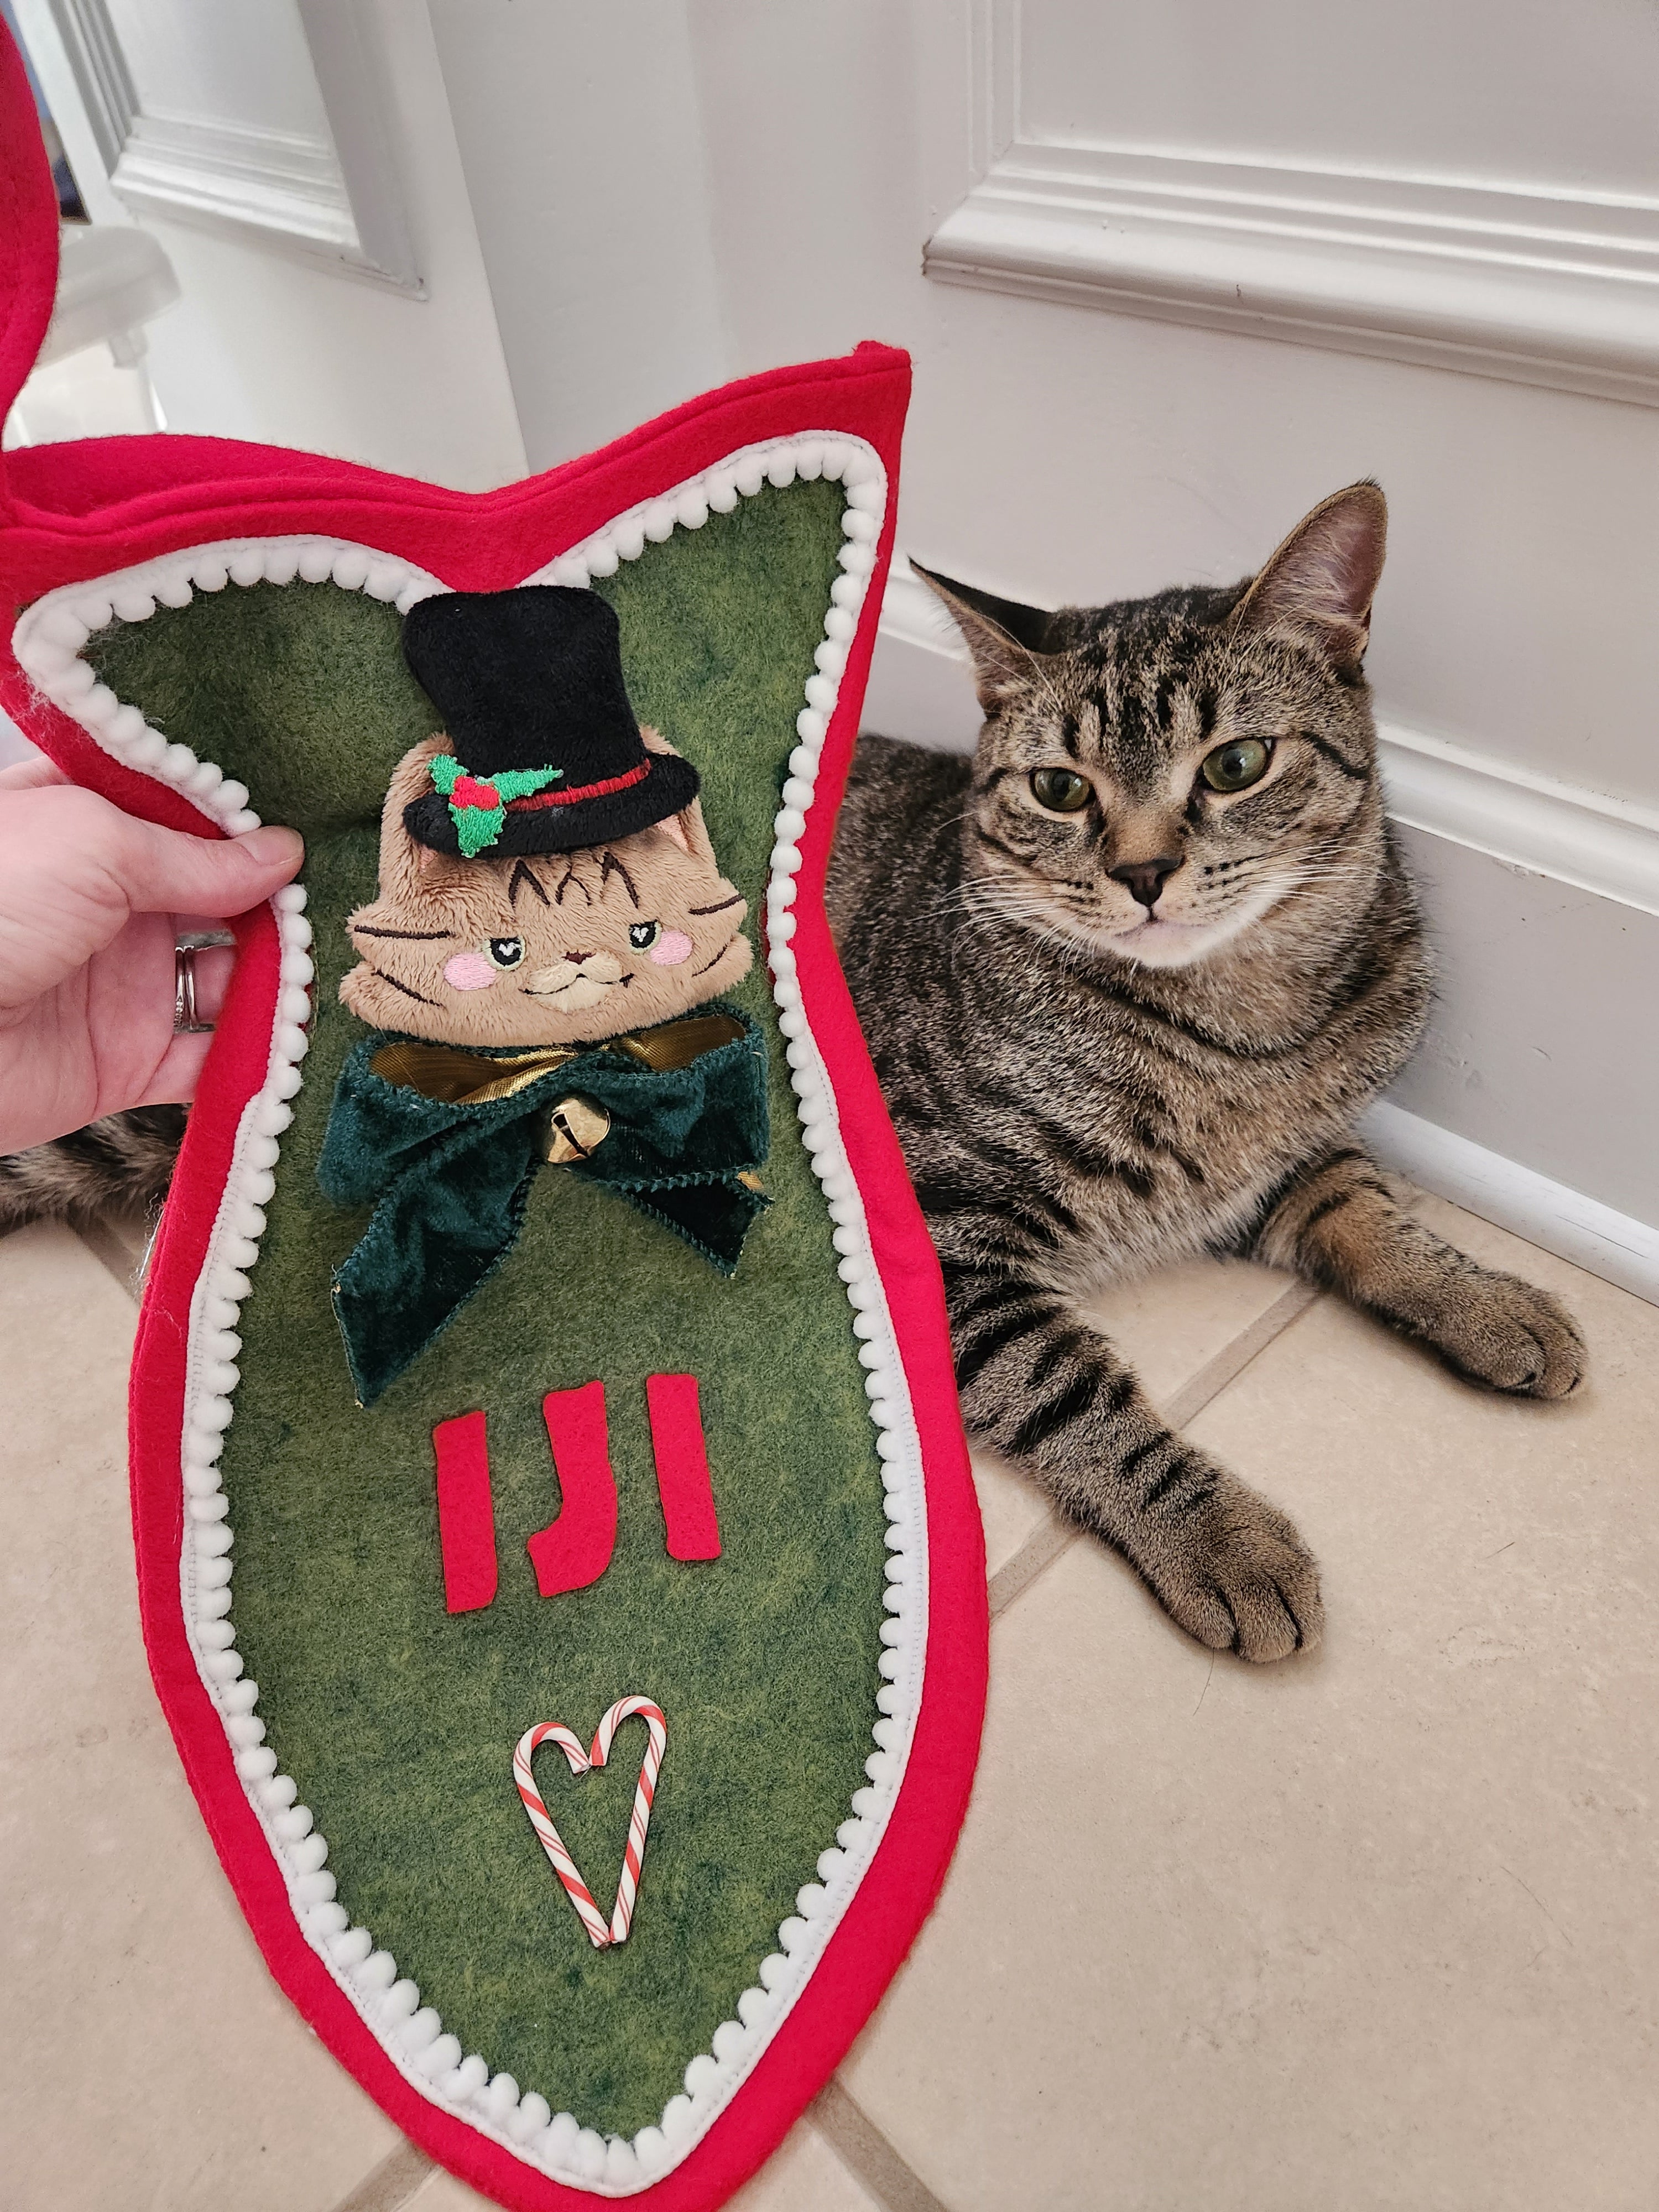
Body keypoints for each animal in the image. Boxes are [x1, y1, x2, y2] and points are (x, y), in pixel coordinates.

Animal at [826, 482, 1585, 1663]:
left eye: (1236, 765)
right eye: (1059, 788)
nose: (1143, 872)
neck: (1244, 1035)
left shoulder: (1274, 1161)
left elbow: (1364, 1204)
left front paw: (1485, 1296)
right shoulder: (936, 1226)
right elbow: (1069, 1389)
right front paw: (1223, 1535)